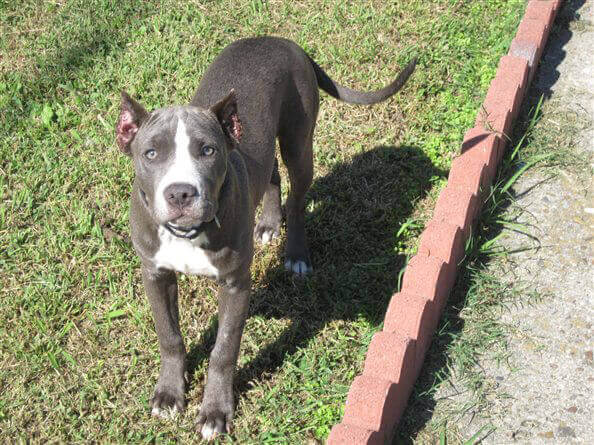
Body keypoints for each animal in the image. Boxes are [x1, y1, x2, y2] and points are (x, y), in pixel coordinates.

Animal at [114, 36, 412, 438]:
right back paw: (269, 222)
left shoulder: (236, 284)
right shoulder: (155, 274)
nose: (180, 193)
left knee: (298, 198)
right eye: (150, 153)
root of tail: (281, 41)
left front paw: (214, 411)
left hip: (299, 140)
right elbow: (169, 335)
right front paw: (169, 394)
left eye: (207, 150)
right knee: (270, 173)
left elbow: (223, 350)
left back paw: (296, 253)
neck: (189, 233)